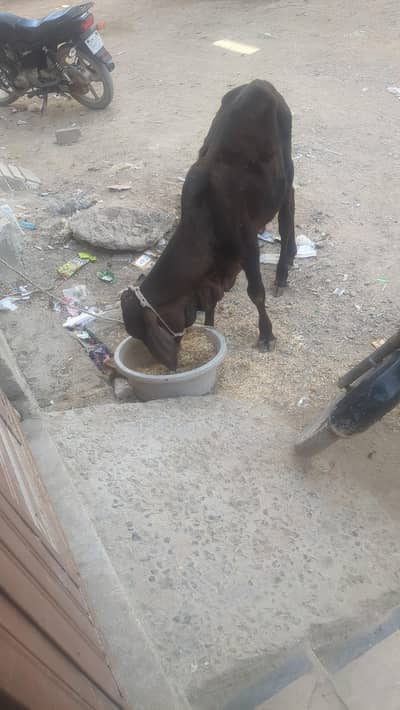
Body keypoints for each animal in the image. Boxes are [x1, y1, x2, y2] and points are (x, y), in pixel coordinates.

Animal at [121, 79, 296, 370]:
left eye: (147, 336)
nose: (169, 365)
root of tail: (259, 83)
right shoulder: (211, 279)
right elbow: (212, 303)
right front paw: (211, 328)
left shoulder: (247, 244)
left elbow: (256, 293)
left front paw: (267, 334)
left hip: (286, 164)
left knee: (287, 209)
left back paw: (284, 269)